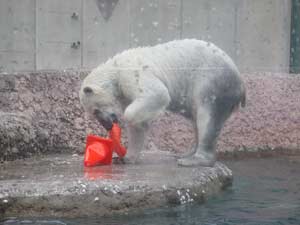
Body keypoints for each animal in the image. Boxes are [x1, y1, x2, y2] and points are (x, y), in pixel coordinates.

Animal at [79, 39, 246, 167]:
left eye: (95, 111)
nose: (107, 125)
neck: (115, 69)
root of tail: (240, 84)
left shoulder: (132, 74)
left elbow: (157, 93)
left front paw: (128, 121)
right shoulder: (125, 93)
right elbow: (138, 127)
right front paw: (125, 158)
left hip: (213, 82)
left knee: (207, 118)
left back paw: (192, 160)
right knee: (197, 120)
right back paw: (186, 153)